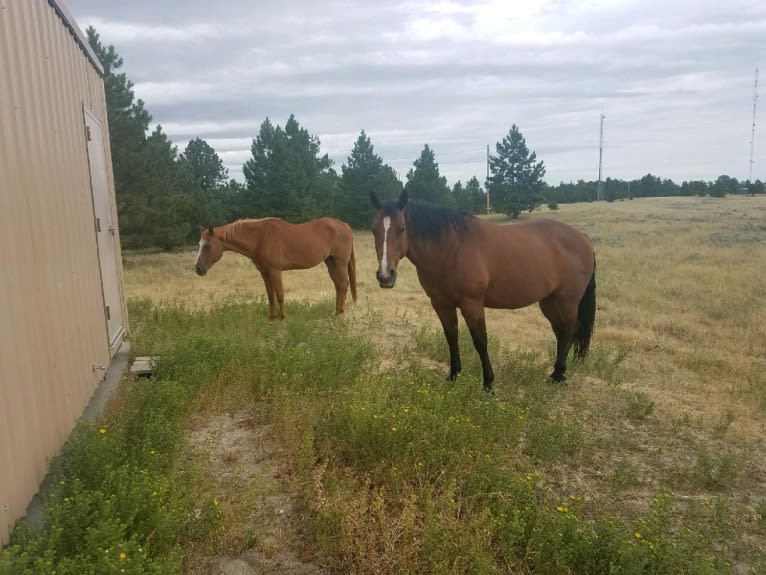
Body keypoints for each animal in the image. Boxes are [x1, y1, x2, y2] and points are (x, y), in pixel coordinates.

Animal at [195, 218, 356, 322]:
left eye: (208, 246)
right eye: (199, 244)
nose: (198, 269)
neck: (260, 238)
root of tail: (345, 226)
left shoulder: (275, 271)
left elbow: (280, 295)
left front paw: (283, 318)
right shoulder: (264, 272)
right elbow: (270, 296)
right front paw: (272, 319)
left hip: (340, 262)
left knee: (343, 284)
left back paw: (340, 314)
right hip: (331, 262)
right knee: (338, 286)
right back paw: (336, 312)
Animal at [368, 190, 596, 392]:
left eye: (402, 228)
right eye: (373, 229)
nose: (385, 276)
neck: (451, 248)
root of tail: (583, 238)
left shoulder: (472, 303)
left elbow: (480, 341)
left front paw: (488, 383)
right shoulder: (441, 303)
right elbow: (451, 336)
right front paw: (453, 376)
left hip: (567, 300)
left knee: (569, 330)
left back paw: (558, 375)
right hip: (549, 301)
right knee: (561, 332)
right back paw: (557, 373)